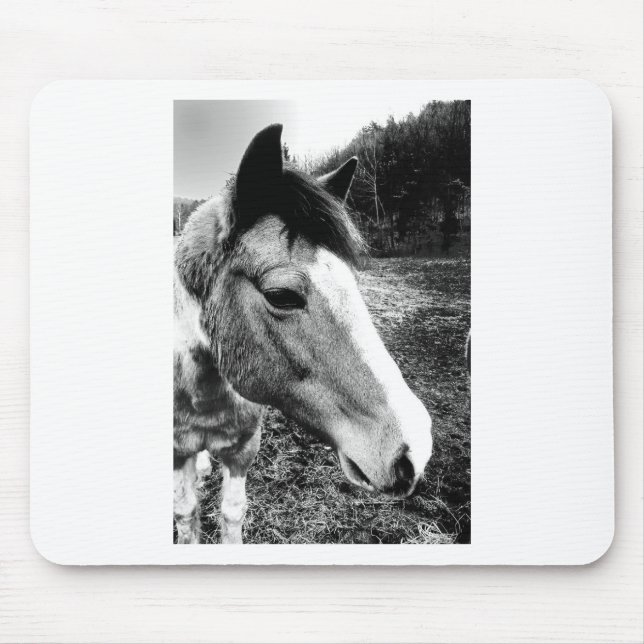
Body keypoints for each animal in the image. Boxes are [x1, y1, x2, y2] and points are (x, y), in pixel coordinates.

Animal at [173, 124, 433, 544]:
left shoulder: (244, 449)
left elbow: (232, 512)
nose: (416, 450)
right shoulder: (176, 452)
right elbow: (186, 514)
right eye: (281, 295)